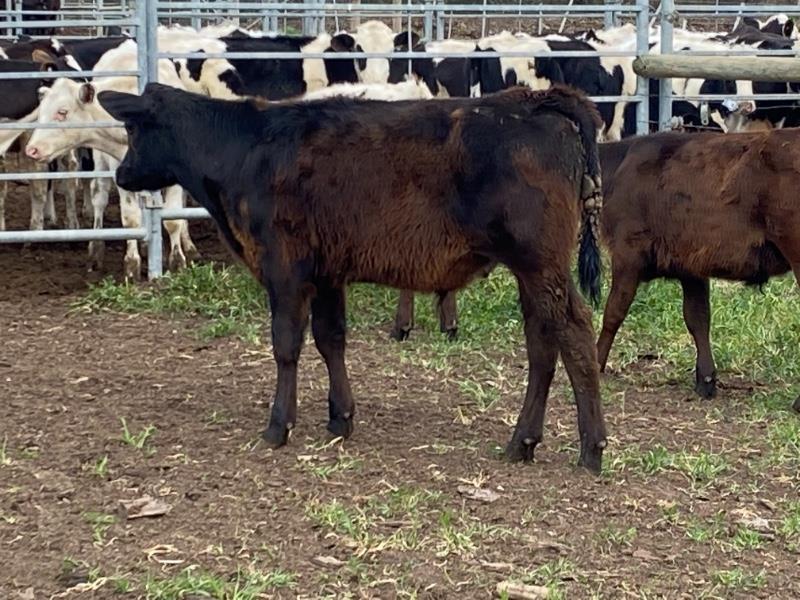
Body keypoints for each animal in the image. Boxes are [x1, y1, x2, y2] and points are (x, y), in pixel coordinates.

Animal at [97, 82, 609, 472]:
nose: (121, 174)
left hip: (539, 263)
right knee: (543, 342)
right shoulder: (327, 273)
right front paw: (340, 417)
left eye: (133, 128)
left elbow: (286, 345)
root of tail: (535, 98)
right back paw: (524, 441)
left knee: (574, 332)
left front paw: (278, 425)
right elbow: (331, 339)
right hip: (533, 270)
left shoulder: (285, 268)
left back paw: (591, 448)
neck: (248, 149)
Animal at [595, 130, 800, 408]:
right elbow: (698, 317)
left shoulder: (628, 252)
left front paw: (596, 362)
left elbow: (614, 311)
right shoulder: (691, 266)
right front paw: (706, 379)